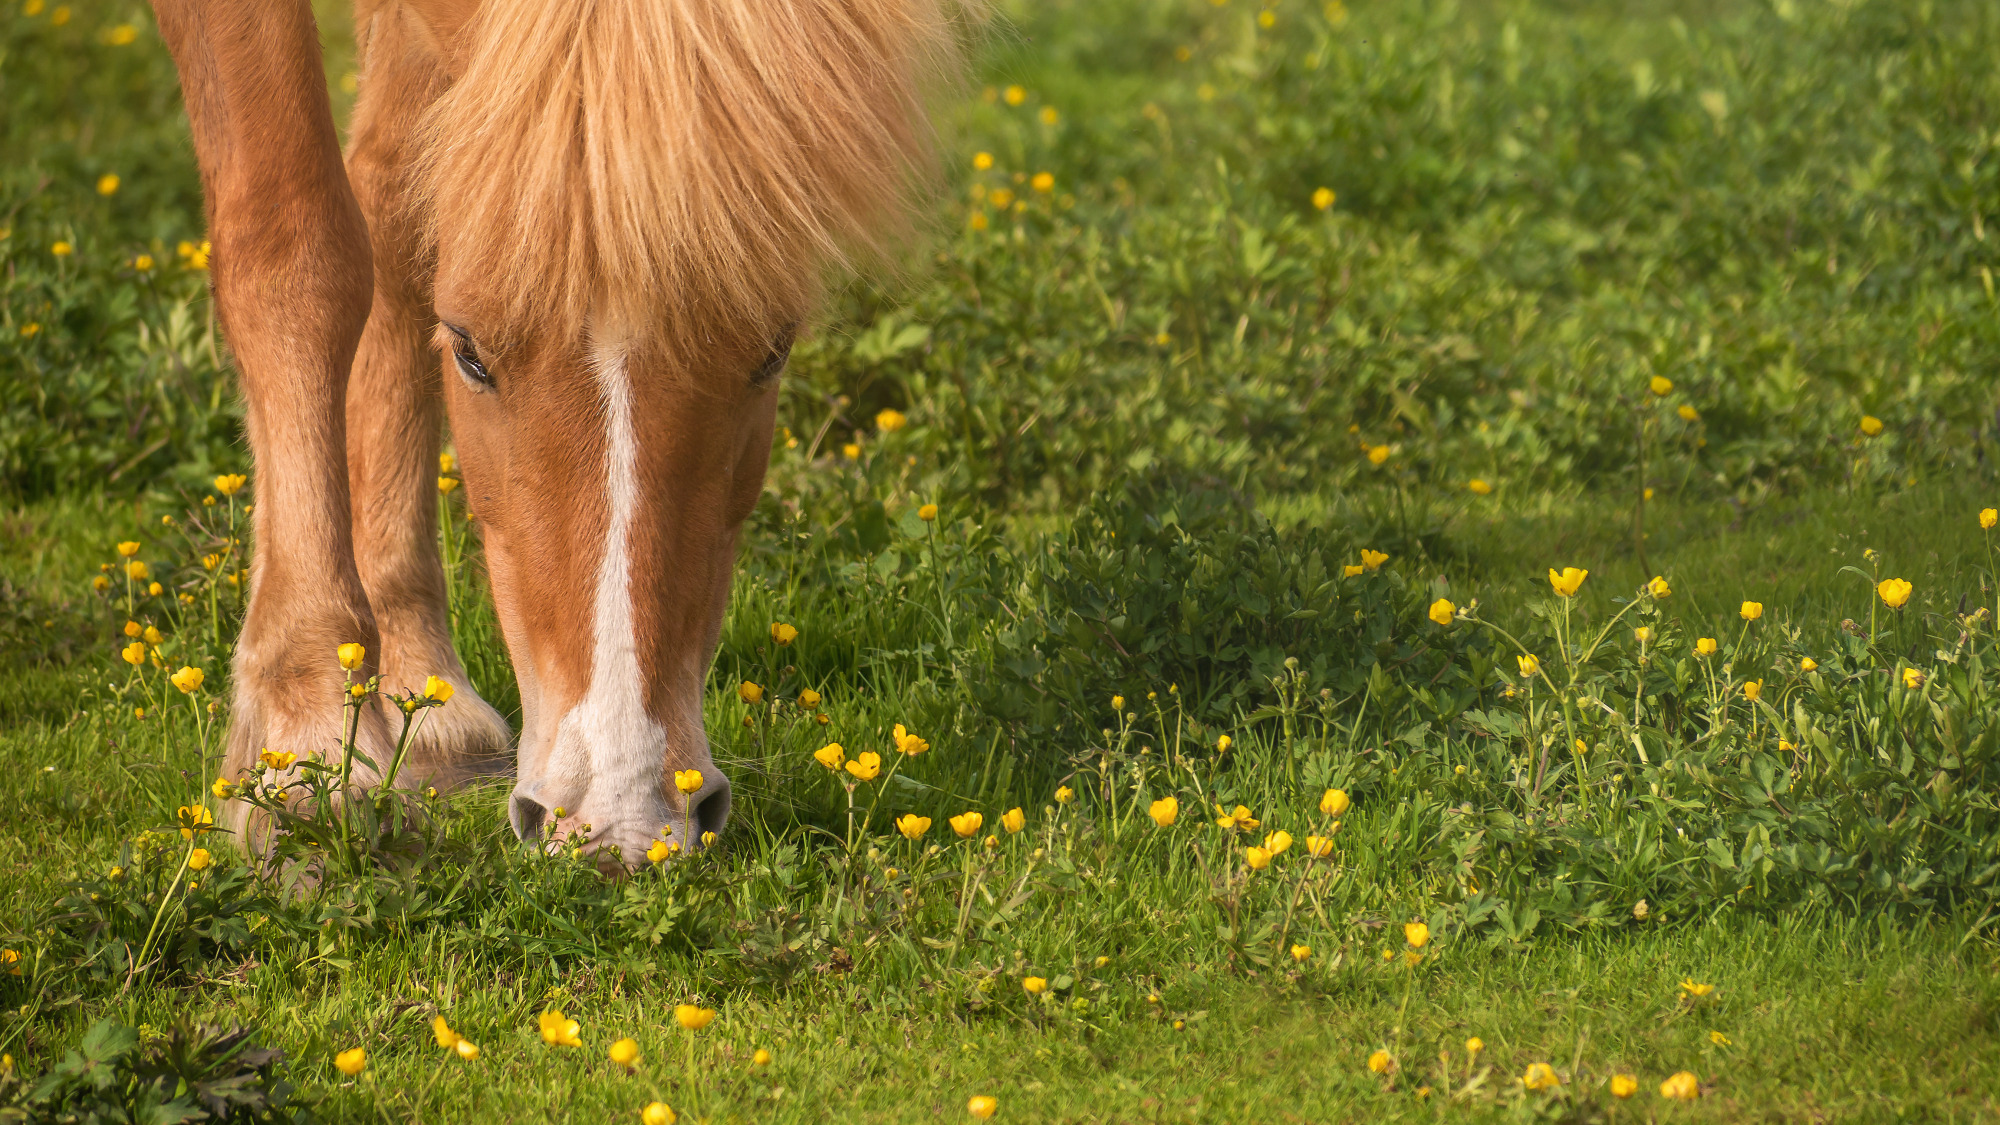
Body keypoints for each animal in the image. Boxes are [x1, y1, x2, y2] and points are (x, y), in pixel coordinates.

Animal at [150, 0, 950, 865]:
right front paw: (313, 748)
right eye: (468, 351)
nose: (623, 822)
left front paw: (421, 691)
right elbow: (295, 242)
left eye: (772, 351)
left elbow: (398, 218)